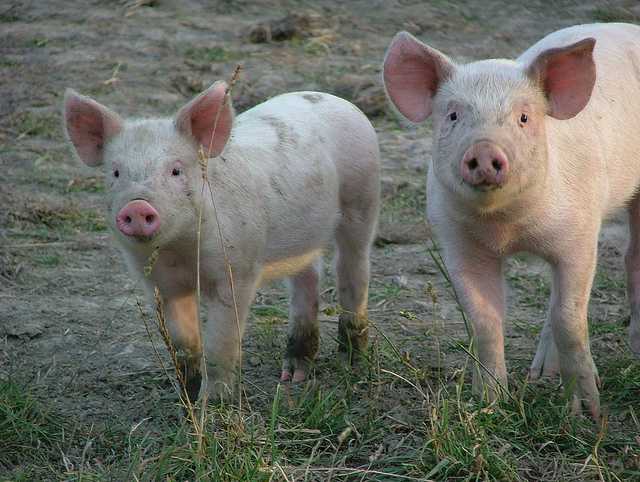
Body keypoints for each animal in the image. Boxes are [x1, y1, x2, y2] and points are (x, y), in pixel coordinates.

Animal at [63, 82, 380, 401]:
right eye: (116, 172)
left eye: (176, 170)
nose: (137, 206)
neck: (179, 251)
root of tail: (332, 98)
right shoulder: (160, 284)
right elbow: (184, 345)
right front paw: (189, 397)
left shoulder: (237, 271)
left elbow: (219, 344)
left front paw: (213, 403)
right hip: (303, 238)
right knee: (308, 279)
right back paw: (293, 376)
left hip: (362, 198)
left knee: (352, 269)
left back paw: (351, 363)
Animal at [383, 23, 640, 419]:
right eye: (453, 115)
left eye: (524, 118)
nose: (484, 149)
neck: (507, 228)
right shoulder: (459, 245)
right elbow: (485, 320)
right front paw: (489, 404)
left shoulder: (579, 237)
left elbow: (570, 318)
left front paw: (588, 413)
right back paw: (540, 374)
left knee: (631, 259)